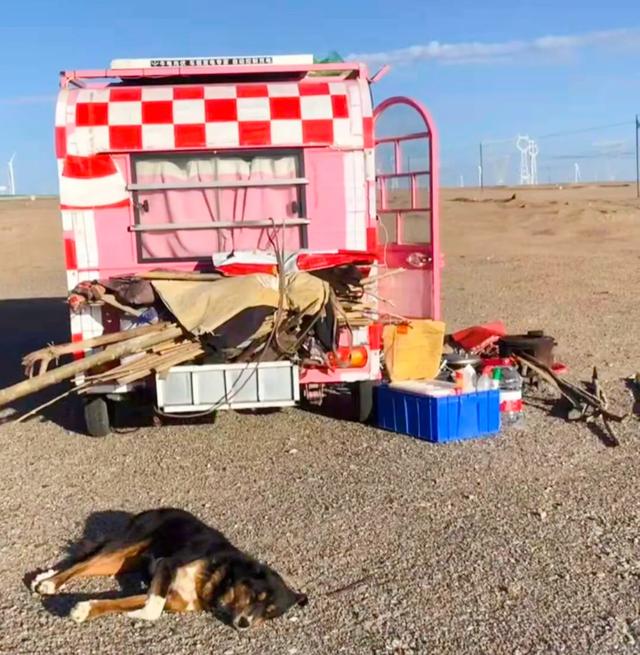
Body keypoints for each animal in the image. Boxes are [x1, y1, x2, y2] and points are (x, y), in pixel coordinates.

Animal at [29, 508, 308, 632]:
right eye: (255, 596)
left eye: (270, 613)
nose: (244, 624)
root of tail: (157, 509)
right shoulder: (167, 565)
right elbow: (153, 608)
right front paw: (139, 615)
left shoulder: (172, 597)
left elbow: (128, 603)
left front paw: (86, 609)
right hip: (125, 544)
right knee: (80, 563)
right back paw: (49, 582)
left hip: (119, 562)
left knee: (82, 563)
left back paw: (45, 577)